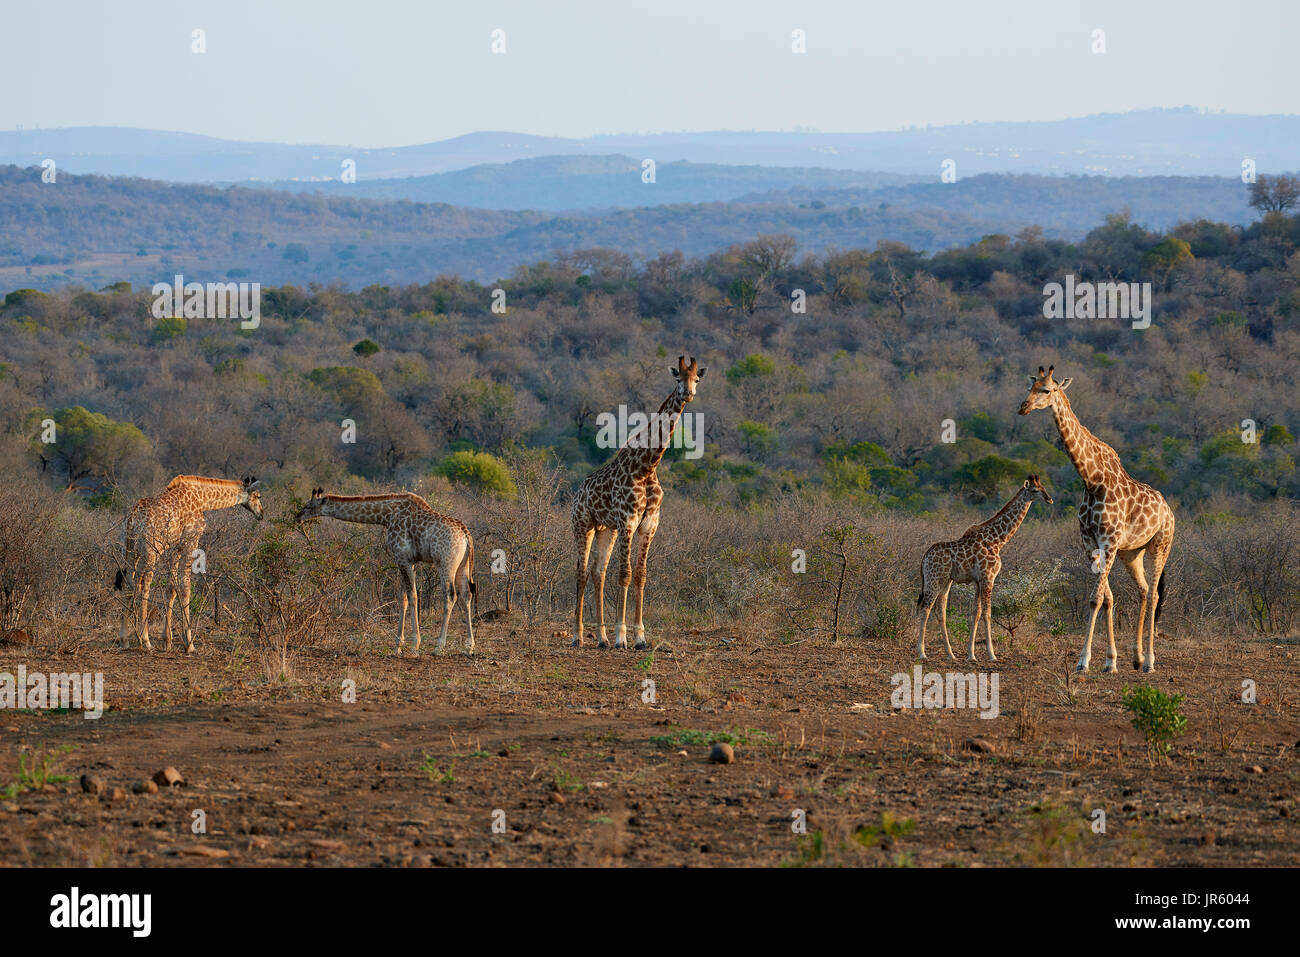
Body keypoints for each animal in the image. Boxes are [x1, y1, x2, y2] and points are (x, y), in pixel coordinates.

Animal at [118, 475, 265, 655]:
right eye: (258, 496)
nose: (261, 514)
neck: (203, 500)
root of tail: (132, 518)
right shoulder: (191, 540)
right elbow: (185, 587)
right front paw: (189, 643)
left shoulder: (176, 546)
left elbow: (171, 588)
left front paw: (168, 640)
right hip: (150, 550)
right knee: (144, 584)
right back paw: (145, 640)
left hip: (130, 548)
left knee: (128, 582)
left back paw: (124, 639)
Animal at [296, 488, 478, 655]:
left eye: (307, 506)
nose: (297, 517)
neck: (387, 516)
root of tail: (466, 535)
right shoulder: (410, 561)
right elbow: (403, 598)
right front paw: (398, 645)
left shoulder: (402, 557)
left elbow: (412, 596)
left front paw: (414, 645)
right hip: (463, 565)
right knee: (466, 594)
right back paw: (469, 647)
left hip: (445, 563)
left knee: (450, 596)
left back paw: (439, 646)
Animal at [572, 356, 707, 650]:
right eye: (678, 378)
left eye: (696, 379)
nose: (688, 393)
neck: (647, 467)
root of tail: (577, 492)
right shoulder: (627, 522)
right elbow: (624, 573)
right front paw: (622, 637)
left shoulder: (649, 525)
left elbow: (640, 575)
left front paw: (640, 637)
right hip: (582, 525)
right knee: (582, 572)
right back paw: (578, 636)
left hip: (605, 530)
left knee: (598, 572)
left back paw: (601, 638)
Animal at [915, 473, 1055, 665]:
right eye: (1035, 490)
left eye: (1043, 488)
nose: (1050, 499)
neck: (998, 540)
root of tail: (924, 558)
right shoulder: (988, 577)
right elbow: (987, 613)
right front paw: (991, 654)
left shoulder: (978, 580)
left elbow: (976, 612)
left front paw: (971, 655)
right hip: (933, 579)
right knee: (925, 608)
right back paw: (922, 652)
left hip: (945, 581)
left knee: (939, 610)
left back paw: (950, 654)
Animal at [1013, 366, 1180, 670]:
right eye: (1030, 387)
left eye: (1047, 390)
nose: (1023, 407)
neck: (1092, 480)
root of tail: (1169, 511)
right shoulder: (1090, 543)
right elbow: (1107, 599)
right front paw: (1110, 661)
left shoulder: (1109, 542)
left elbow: (1095, 598)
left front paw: (1083, 661)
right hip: (1132, 553)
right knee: (1143, 589)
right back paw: (1137, 657)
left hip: (1161, 545)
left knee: (1154, 594)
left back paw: (1150, 661)